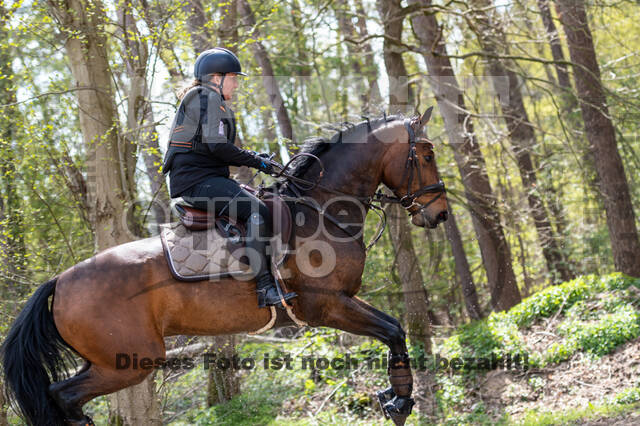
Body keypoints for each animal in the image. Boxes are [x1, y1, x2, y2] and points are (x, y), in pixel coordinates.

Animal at [1, 110, 450, 426]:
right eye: (427, 154)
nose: (441, 214)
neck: (320, 210)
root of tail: (59, 281)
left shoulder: (337, 304)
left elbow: (394, 331)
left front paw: (394, 397)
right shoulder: (326, 306)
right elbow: (393, 330)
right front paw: (400, 401)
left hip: (104, 360)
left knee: (64, 398)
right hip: (129, 360)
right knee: (64, 396)